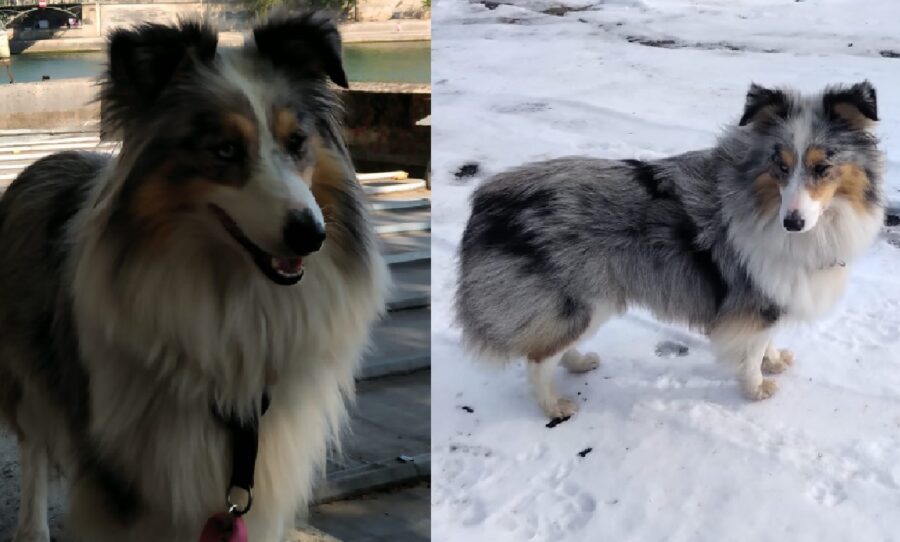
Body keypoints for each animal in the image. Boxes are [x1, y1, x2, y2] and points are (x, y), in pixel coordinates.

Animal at [0, 12, 384, 542]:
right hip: (27, 374)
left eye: (296, 143)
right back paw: (32, 526)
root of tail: (43, 161)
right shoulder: (121, 477)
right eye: (224, 150)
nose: (312, 235)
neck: (232, 291)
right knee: (33, 443)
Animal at [460, 82, 884, 420]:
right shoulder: (753, 298)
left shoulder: (772, 294)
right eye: (779, 166)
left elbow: (766, 340)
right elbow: (752, 351)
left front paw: (775, 361)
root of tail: (489, 199)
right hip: (583, 302)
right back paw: (553, 405)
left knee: (551, 346)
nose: (792, 223)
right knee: (536, 359)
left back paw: (579, 362)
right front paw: (756, 387)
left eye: (822, 167)